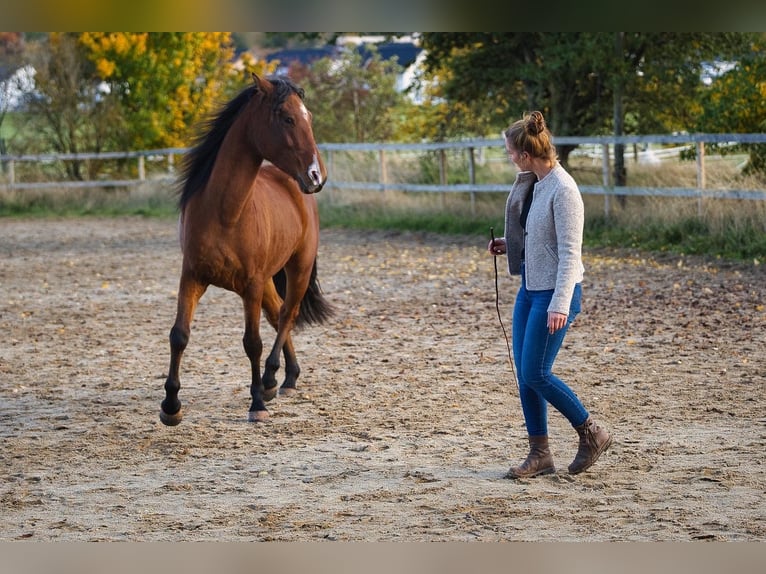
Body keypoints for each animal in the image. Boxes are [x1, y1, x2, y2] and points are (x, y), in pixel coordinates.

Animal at [160, 74, 332, 426]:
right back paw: (286, 378)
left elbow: (252, 342)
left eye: (307, 117)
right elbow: (179, 334)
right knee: (278, 312)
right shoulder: (192, 276)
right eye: (288, 118)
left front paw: (256, 404)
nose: (316, 175)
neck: (226, 214)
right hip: (267, 280)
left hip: (298, 268)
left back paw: (270, 379)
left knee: (288, 314)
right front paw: (171, 406)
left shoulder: (250, 285)